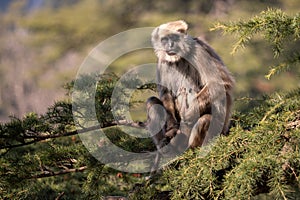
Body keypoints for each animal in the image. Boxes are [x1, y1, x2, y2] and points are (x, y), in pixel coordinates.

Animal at [147, 20, 234, 173]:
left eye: (174, 38)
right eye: (165, 40)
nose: (170, 45)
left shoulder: (199, 51)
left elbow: (219, 84)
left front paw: (189, 115)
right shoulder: (161, 61)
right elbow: (165, 92)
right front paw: (171, 126)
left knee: (205, 119)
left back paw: (189, 151)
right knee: (153, 102)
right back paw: (166, 148)